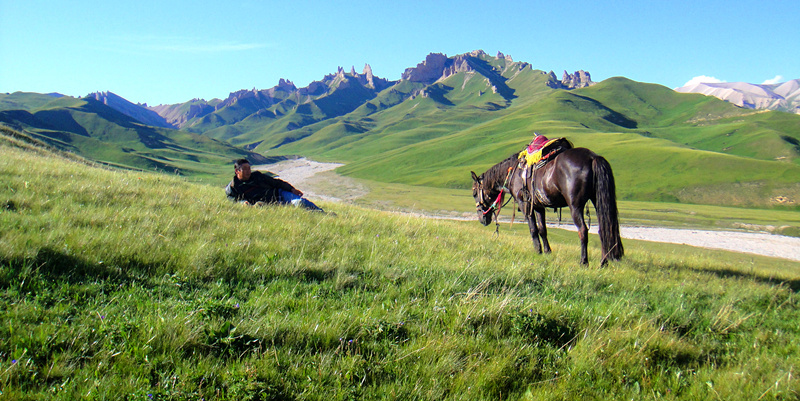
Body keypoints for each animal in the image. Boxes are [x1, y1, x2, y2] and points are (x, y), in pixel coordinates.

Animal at [468, 145, 624, 264]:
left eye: (474, 193)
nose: (482, 219)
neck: (513, 173)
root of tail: (592, 157)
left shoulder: (525, 204)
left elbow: (533, 229)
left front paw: (538, 250)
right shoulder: (538, 206)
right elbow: (543, 229)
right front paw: (547, 252)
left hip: (575, 206)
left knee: (583, 230)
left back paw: (583, 261)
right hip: (597, 201)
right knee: (604, 229)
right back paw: (603, 262)